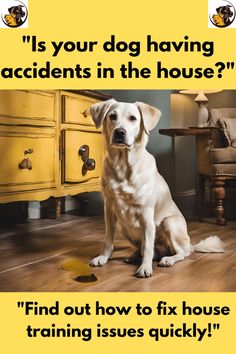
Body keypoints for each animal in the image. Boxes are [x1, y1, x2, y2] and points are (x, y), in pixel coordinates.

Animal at [89, 98, 223, 278]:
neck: (123, 166)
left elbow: (147, 246)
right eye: (112, 116)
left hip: (169, 223)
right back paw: (134, 256)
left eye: (133, 118)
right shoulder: (109, 210)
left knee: (182, 252)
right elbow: (108, 239)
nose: (119, 132)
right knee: (151, 250)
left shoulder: (146, 213)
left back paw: (168, 259)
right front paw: (103, 257)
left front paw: (145, 268)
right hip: (125, 228)